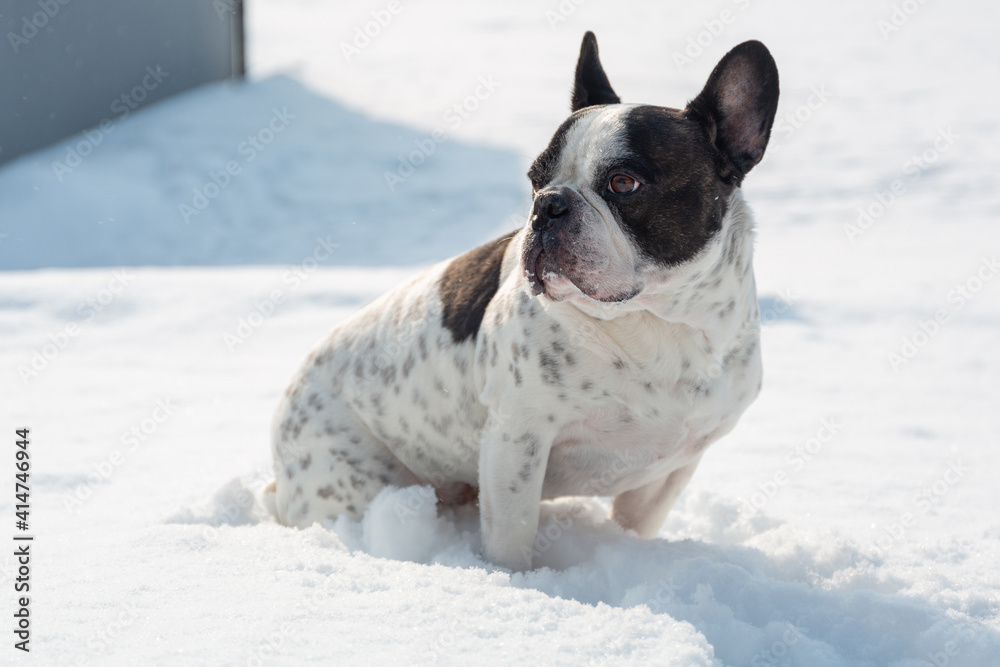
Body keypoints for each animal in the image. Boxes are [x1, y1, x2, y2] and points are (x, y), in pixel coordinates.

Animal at [272, 31, 780, 572]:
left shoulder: (674, 466)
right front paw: (513, 583)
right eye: (535, 179)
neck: (657, 324)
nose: (548, 205)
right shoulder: (517, 438)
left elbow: (636, 525)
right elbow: (512, 534)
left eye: (624, 183)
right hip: (355, 479)